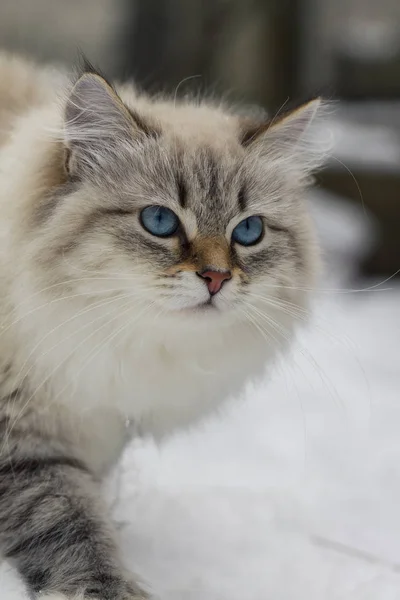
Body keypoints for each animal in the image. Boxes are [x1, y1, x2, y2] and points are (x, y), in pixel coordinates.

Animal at [0, 54, 328, 596]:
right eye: (159, 221)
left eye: (249, 231)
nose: (216, 278)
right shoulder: (25, 441)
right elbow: (69, 523)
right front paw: (108, 588)